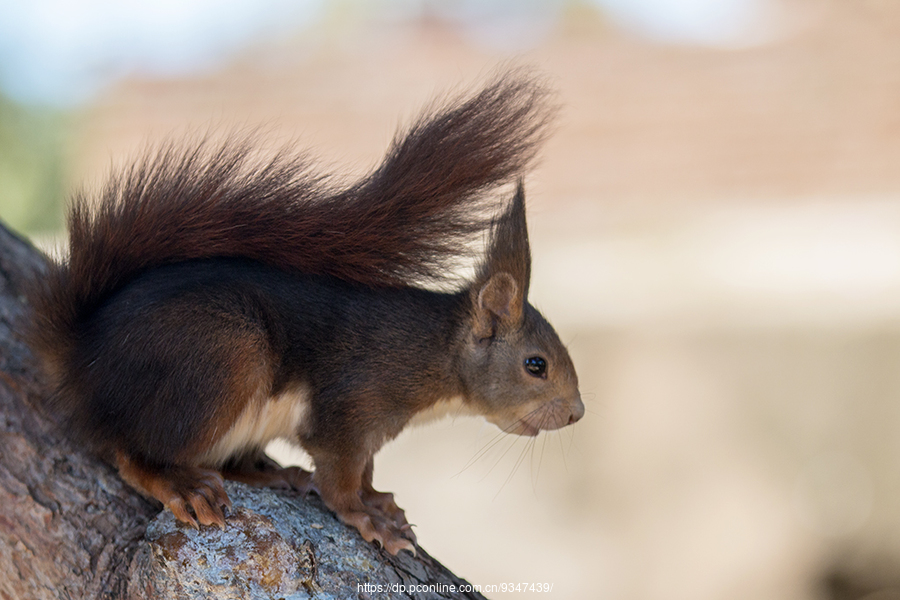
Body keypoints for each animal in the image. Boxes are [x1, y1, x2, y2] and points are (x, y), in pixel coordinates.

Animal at [24, 72, 584, 556]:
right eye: (536, 365)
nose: (577, 413)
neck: (433, 350)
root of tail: (84, 360)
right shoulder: (350, 409)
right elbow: (340, 478)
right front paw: (366, 517)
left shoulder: (368, 433)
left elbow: (365, 471)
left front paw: (377, 500)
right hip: (225, 353)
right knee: (130, 449)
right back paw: (180, 483)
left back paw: (274, 474)